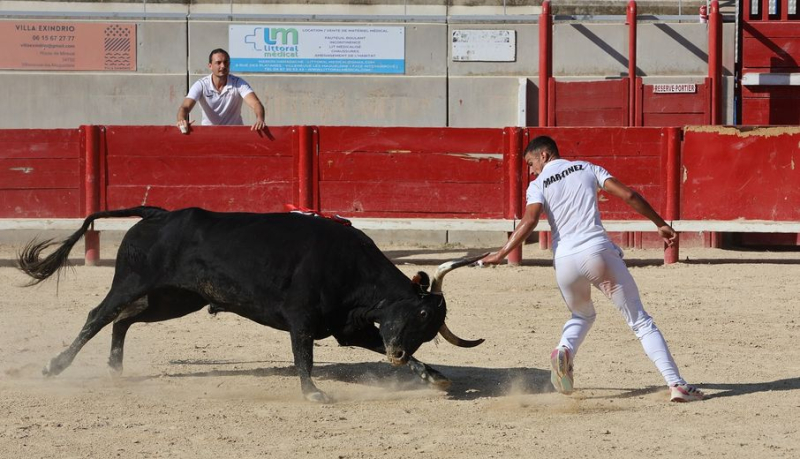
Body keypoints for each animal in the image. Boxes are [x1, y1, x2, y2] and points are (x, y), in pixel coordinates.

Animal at [15, 208, 484, 402]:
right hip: (133, 281)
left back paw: (115, 369)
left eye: (429, 329)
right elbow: (302, 356)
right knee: (99, 315)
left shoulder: (348, 328)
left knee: (122, 321)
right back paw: (54, 367)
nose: (397, 354)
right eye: (420, 313)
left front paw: (436, 378)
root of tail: (158, 213)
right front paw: (313, 393)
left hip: (176, 298)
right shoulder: (302, 318)